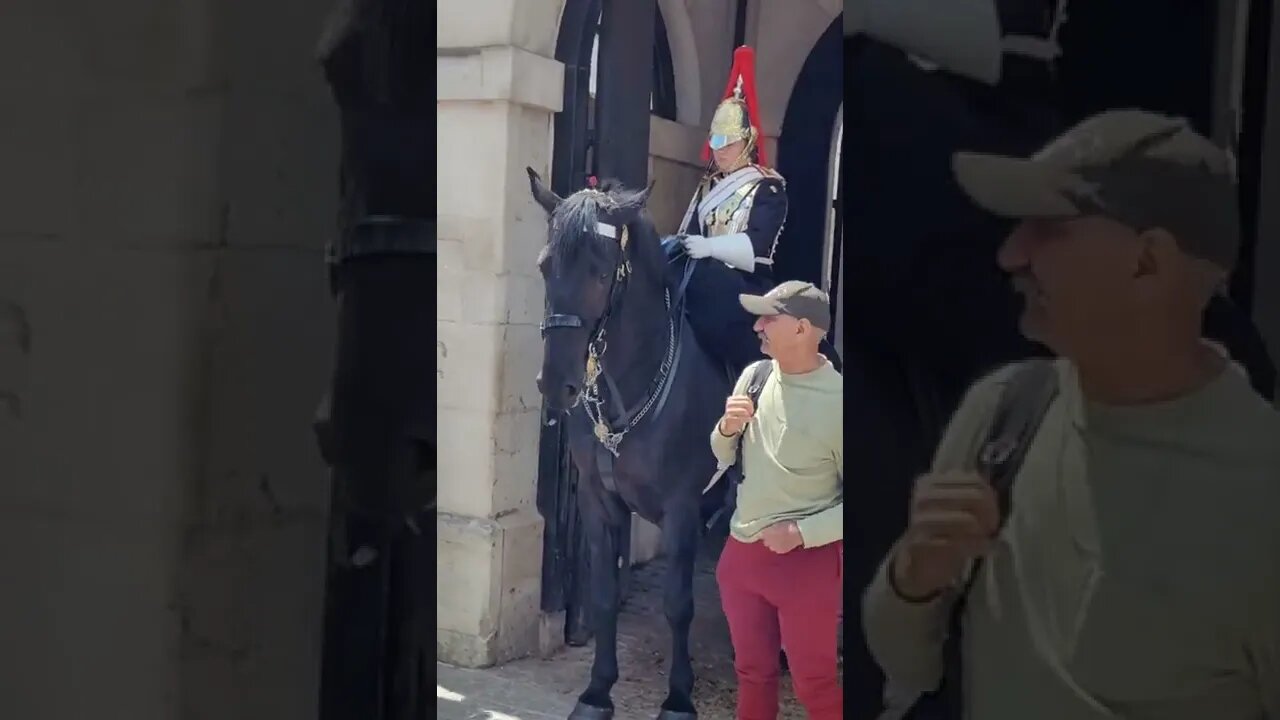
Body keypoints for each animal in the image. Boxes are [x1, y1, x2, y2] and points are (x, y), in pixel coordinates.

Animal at [529, 167, 732, 717]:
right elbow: (602, 594)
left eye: (601, 274)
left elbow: (678, 604)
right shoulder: (597, 501)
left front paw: (679, 696)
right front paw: (597, 689)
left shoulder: (683, 507)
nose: (557, 384)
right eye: (545, 266)